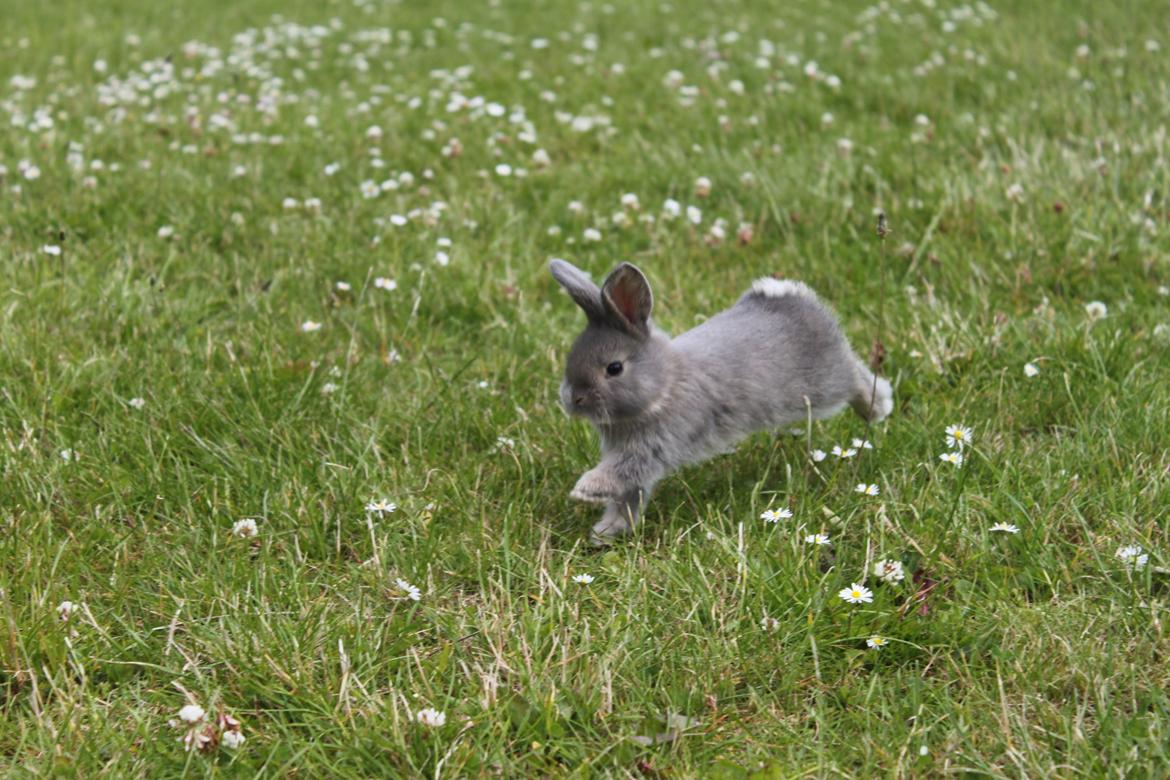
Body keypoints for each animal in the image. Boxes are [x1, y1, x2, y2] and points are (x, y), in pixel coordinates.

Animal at [549, 259, 893, 547]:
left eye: (614, 368)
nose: (571, 399)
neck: (666, 384)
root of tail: (792, 298)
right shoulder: (634, 467)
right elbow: (627, 500)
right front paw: (606, 532)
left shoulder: (649, 449)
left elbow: (617, 474)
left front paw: (584, 490)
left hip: (827, 385)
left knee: (856, 375)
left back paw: (878, 407)